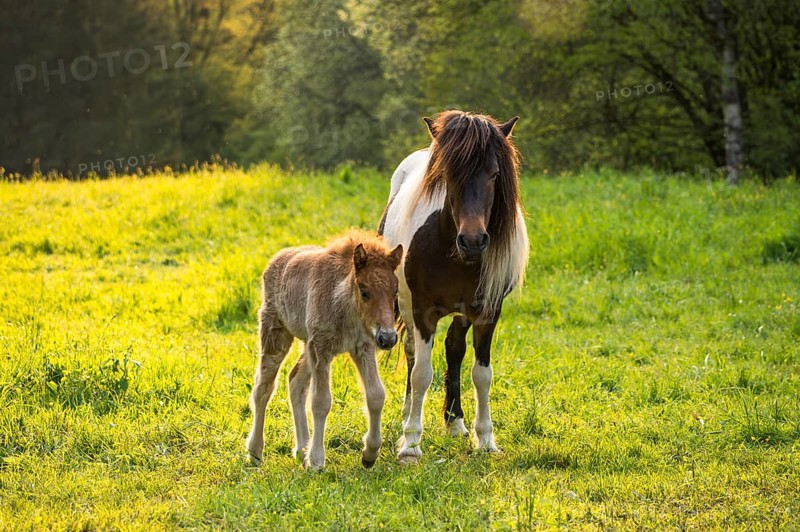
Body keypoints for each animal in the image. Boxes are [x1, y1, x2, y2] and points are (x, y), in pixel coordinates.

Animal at [245, 230, 403, 470]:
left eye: (395, 291)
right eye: (364, 291)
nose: (388, 338)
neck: (345, 306)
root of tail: (274, 262)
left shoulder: (362, 347)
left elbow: (376, 394)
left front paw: (370, 454)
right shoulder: (322, 349)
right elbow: (321, 401)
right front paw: (317, 461)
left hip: (307, 346)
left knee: (295, 380)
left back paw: (301, 449)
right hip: (275, 332)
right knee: (263, 387)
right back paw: (255, 451)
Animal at [378, 110, 529, 463]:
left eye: (494, 174)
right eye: (448, 174)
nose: (473, 241)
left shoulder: (488, 312)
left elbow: (482, 374)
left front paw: (485, 439)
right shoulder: (422, 311)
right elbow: (421, 374)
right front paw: (410, 444)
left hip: (462, 312)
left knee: (454, 348)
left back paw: (455, 422)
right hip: (406, 305)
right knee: (412, 355)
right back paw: (408, 416)